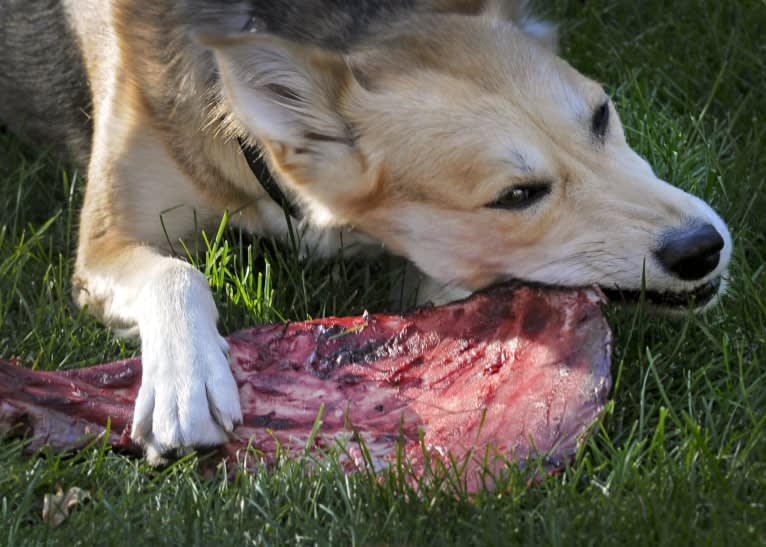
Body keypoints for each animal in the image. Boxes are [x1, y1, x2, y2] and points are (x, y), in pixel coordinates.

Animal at [0, 0, 736, 462]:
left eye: (602, 115)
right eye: (516, 196)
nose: (704, 247)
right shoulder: (104, 245)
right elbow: (177, 273)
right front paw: (187, 380)